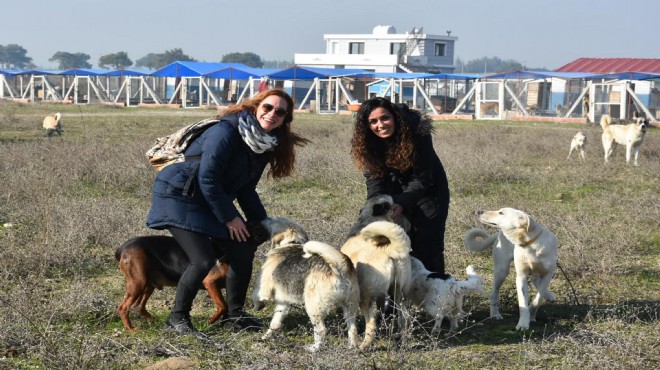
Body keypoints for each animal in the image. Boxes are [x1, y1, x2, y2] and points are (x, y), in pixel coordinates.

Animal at [251, 218, 360, 352]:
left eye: (274, 221)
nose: (263, 219)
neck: (291, 242)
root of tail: (340, 268)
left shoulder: (263, 288)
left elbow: (256, 296)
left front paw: (257, 307)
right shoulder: (284, 301)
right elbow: (275, 322)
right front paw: (266, 336)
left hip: (313, 306)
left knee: (321, 330)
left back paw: (314, 348)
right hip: (350, 307)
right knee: (353, 329)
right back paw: (351, 346)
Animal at [340, 221, 412, 352]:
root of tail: (388, 250)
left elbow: (351, 325)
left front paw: (352, 344)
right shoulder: (381, 296)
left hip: (365, 299)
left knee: (371, 324)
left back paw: (363, 347)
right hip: (399, 294)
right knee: (404, 317)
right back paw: (402, 342)